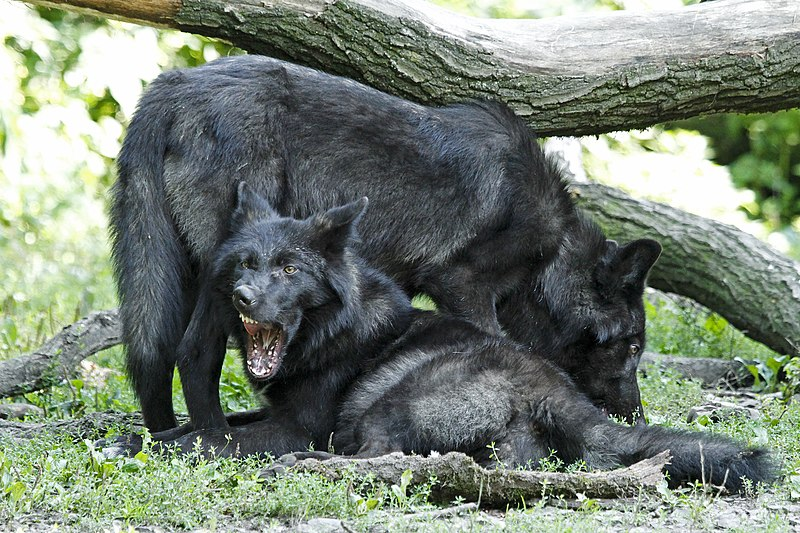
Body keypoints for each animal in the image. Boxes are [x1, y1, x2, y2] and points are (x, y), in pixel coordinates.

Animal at [109, 188, 772, 494]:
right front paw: (140, 438)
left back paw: (310, 468)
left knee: (383, 458)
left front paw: (153, 445)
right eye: (245, 264)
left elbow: (212, 441)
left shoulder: (295, 425)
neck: (336, 328)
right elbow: (199, 428)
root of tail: (558, 392)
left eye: (289, 269)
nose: (243, 296)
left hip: (387, 403)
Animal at [114, 54, 664, 432]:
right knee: (193, 353)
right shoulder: (461, 284)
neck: (549, 263)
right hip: (224, 284)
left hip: (179, 277)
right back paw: (213, 436)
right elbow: (494, 343)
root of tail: (174, 84)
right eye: (633, 345)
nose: (638, 416)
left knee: (154, 353)